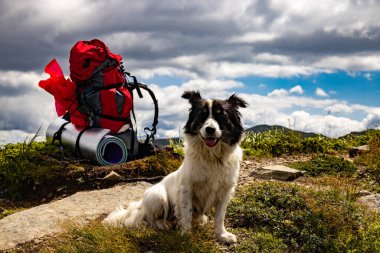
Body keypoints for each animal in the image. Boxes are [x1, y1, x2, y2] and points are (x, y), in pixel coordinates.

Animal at [103, 90, 246, 244]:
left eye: (222, 116)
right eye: (201, 115)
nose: (210, 129)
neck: (212, 157)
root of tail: (140, 204)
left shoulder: (225, 191)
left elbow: (220, 217)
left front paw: (222, 235)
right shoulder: (186, 189)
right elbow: (186, 213)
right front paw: (186, 234)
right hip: (158, 197)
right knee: (151, 219)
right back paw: (165, 224)